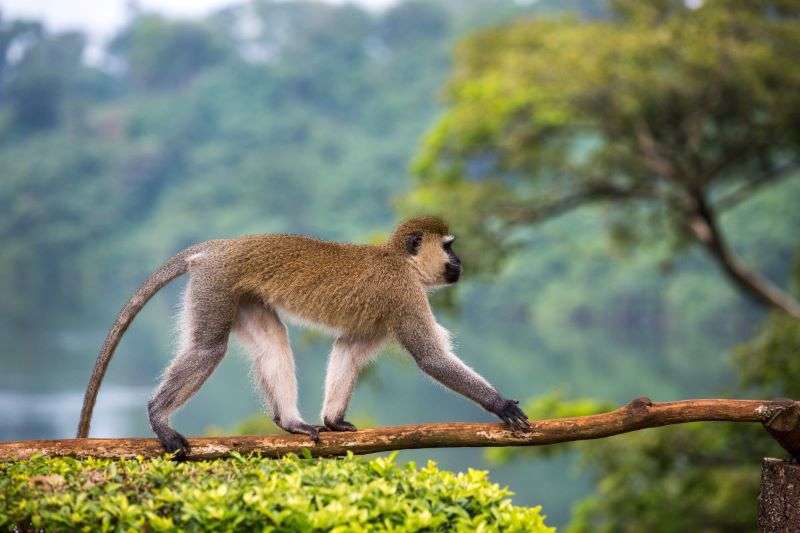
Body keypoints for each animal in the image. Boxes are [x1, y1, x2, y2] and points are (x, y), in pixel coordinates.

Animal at [76, 216, 530, 457]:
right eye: (449, 247)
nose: (460, 261)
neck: (401, 261)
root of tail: (221, 246)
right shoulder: (404, 294)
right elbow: (431, 359)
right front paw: (500, 404)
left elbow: (348, 348)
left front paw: (332, 420)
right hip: (215, 284)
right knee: (207, 349)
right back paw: (157, 414)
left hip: (240, 294)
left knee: (272, 340)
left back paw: (290, 422)